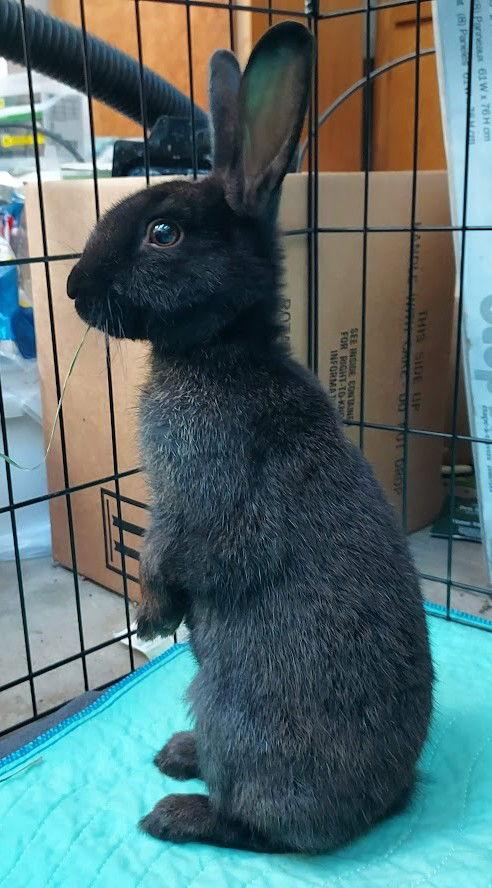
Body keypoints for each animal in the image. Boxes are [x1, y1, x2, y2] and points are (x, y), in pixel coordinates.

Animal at [67, 21, 433, 854]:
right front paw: (154, 622)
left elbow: (166, 552)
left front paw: (152, 618)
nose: (71, 289)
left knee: (258, 827)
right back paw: (178, 757)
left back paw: (177, 808)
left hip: (233, 710)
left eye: (163, 232)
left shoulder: (192, 495)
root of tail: (384, 804)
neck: (219, 350)